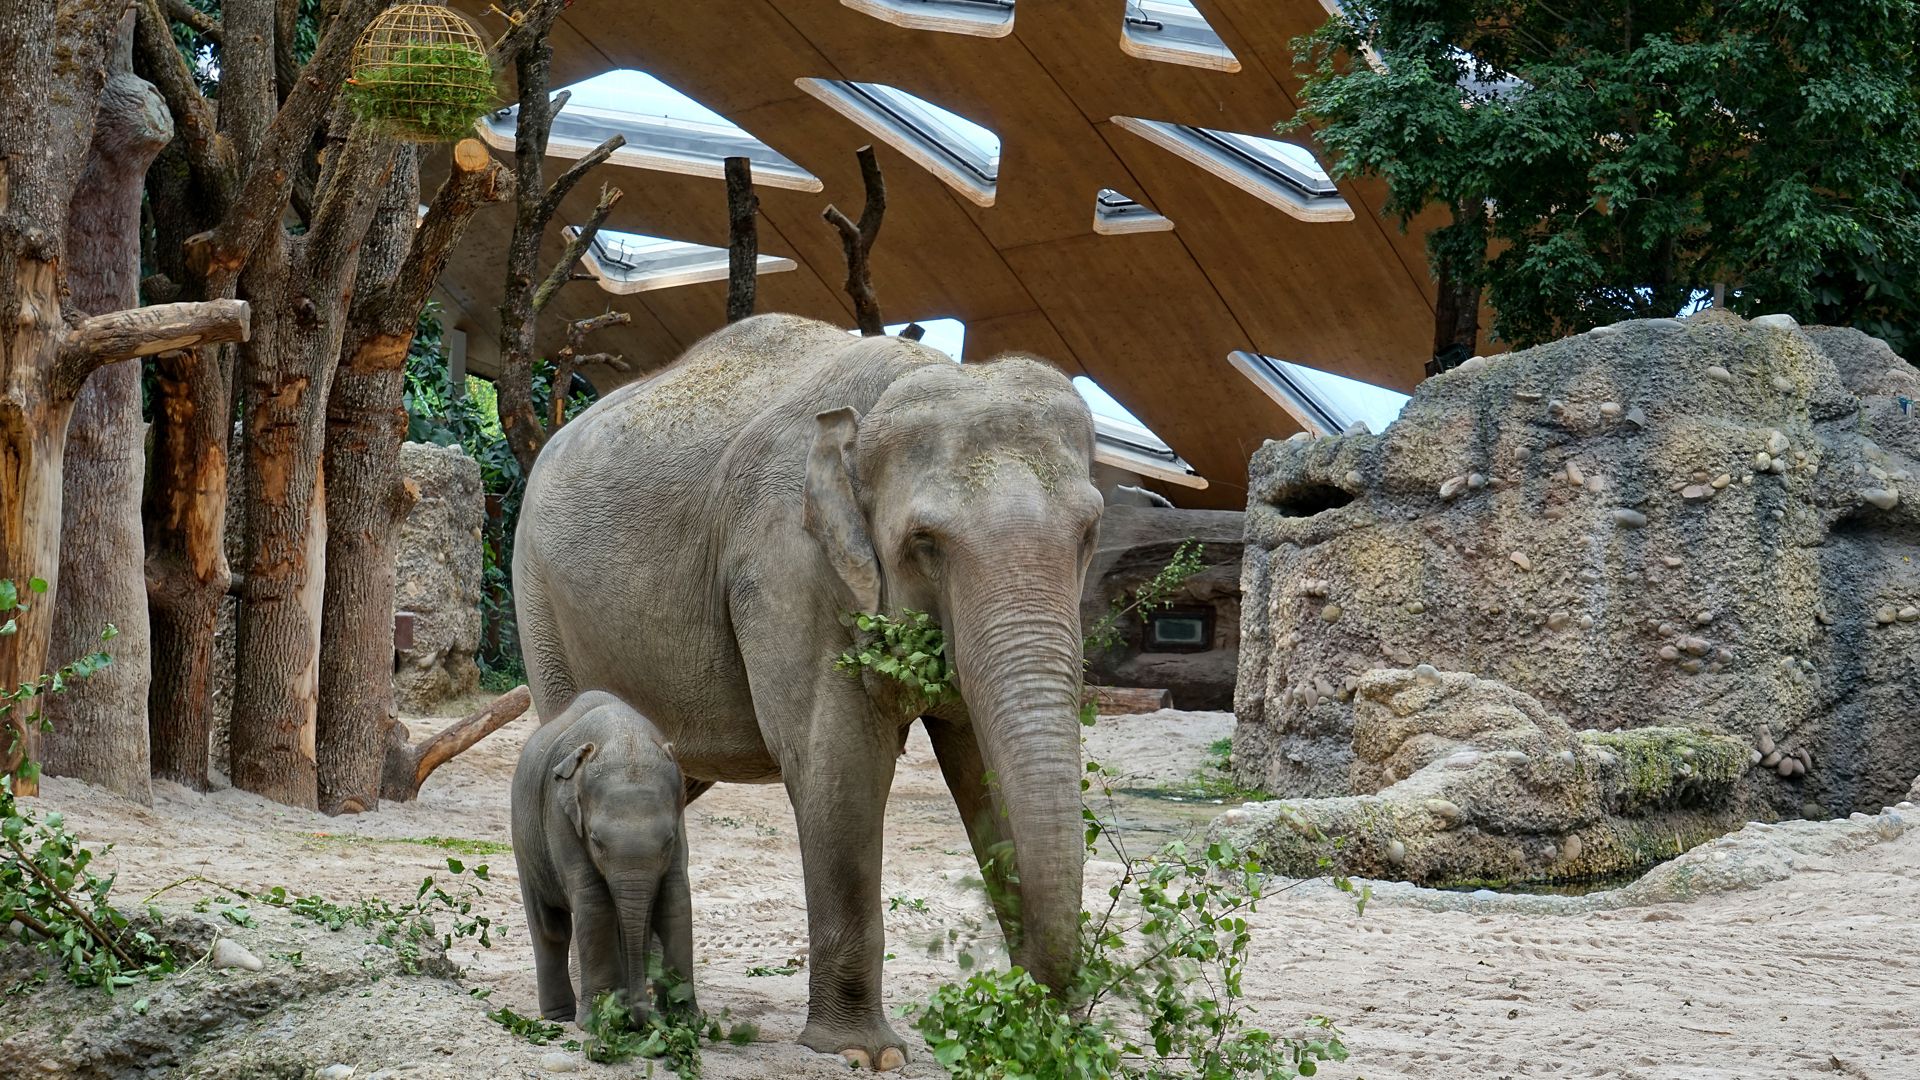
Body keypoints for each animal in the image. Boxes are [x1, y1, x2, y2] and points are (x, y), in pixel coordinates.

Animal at [510, 687, 698, 1014]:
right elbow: (593, 900)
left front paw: (685, 1019)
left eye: (669, 840)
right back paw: (559, 1015)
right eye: (596, 840)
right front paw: (601, 1018)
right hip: (524, 841)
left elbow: (674, 897)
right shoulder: (559, 815)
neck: (625, 735)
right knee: (550, 928)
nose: (639, 1014)